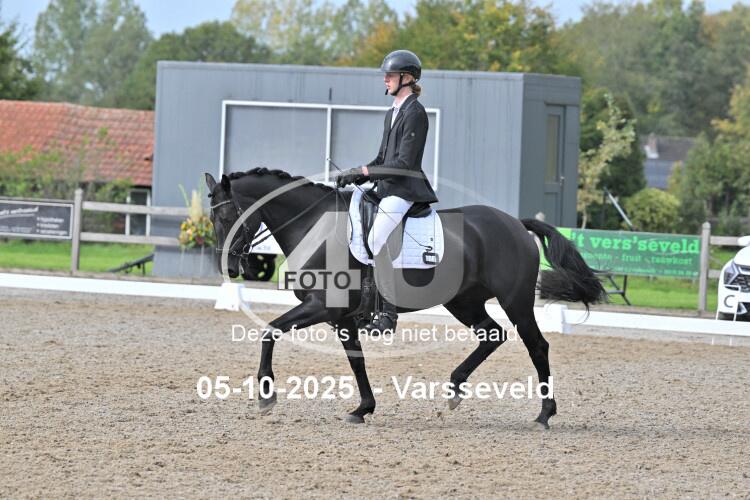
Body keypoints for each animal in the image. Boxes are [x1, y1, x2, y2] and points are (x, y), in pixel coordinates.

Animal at [205, 167, 605, 429]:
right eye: (213, 219)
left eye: (228, 216)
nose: (230, 266)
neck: (314, 225)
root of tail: (515, 224)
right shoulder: (341, 316)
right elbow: (356, 361)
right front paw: (363, 408)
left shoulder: (323, 306)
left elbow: (269, 331)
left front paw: (266, 396)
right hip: (463, 301)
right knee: (492, 335)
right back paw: (454, 390)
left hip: (515, 301)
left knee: (536, 346)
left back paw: (543, 415)